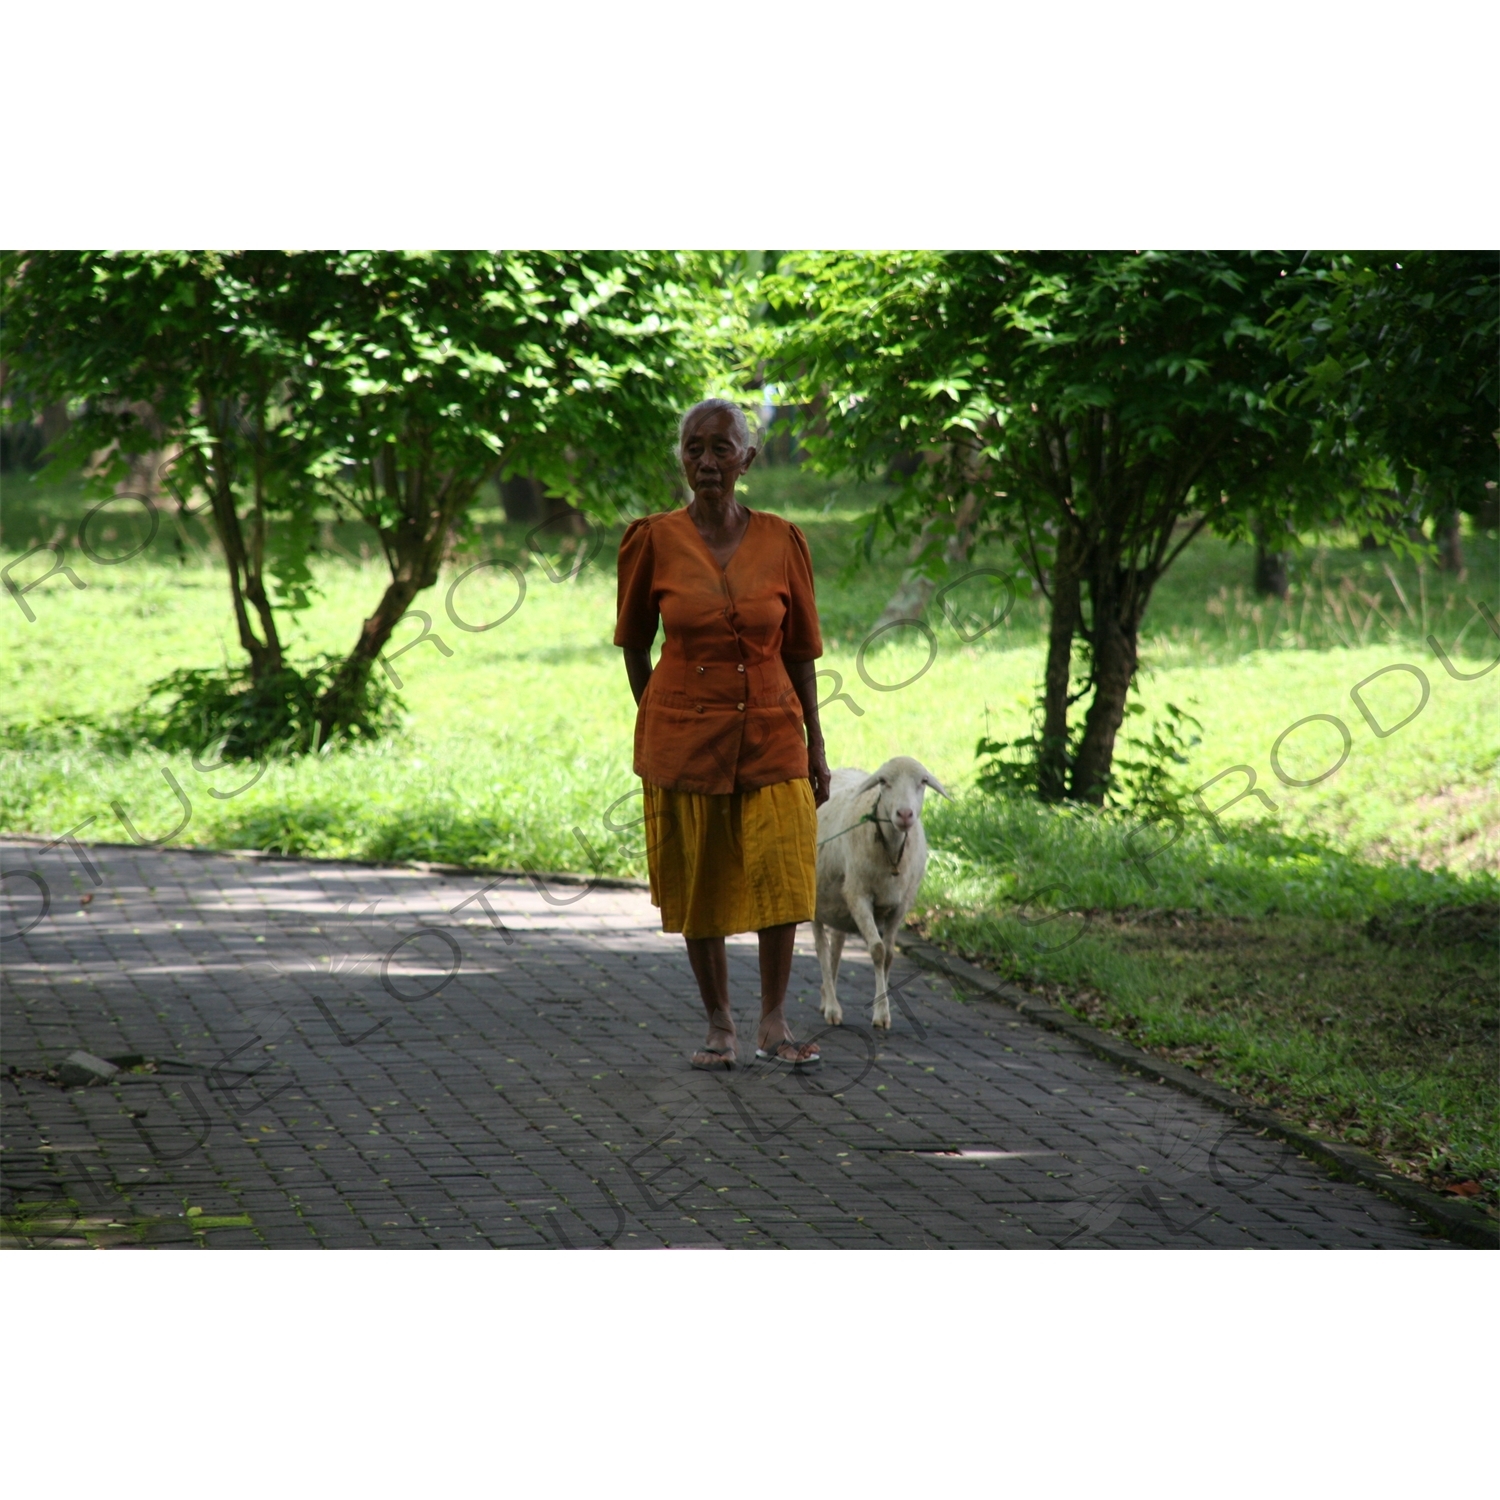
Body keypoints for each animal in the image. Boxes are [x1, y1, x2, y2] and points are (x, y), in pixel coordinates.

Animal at [810, 756, 948, 1026]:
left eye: (923, 781)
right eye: (883, 781)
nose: (904, 814)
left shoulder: (901, 905)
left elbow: (890, 955)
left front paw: (883, 1010)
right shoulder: (859, 896)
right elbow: (877, 950)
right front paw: (881, 1014)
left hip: (839, 904)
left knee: (837, 946)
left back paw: (825, 998)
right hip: (817, 899)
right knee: (822, 949)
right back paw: (832, 1007)